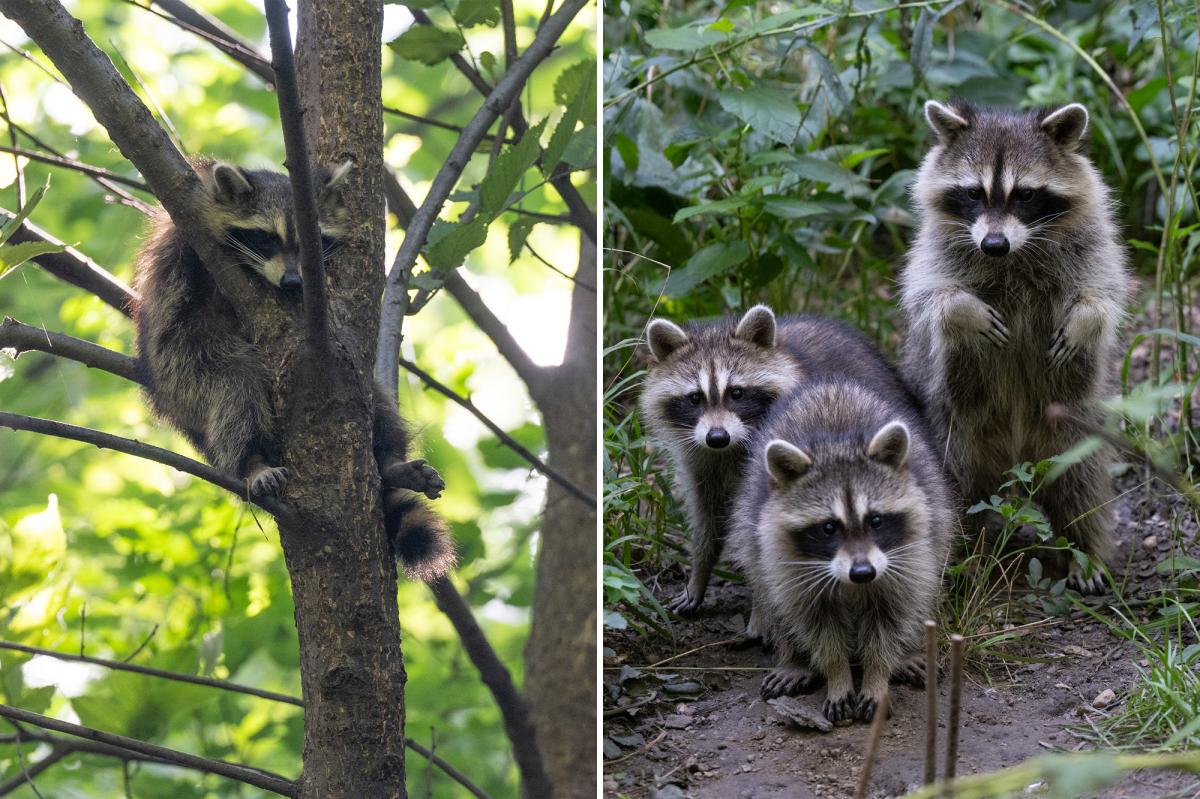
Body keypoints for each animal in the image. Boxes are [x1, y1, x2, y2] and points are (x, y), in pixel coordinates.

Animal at [132, 157, 454, 580]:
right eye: (266, 238)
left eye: (312, 244)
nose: (292, 281)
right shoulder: (184, 247)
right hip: (183, 374)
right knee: (235, 389)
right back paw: (251, 461)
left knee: (375, 399)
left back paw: (391, 460)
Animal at [639, 305, 898, 615]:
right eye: (694, 398)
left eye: (737, 393)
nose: (717, 436)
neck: (730, 449)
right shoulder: (701, 459)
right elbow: (708, 518)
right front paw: (699, 573)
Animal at [730, 378, 955, 723]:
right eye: (828, 528)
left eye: (875, 520)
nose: (863, 573)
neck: (836, 443)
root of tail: (830, 384)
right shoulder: (792, 566)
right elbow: (816, 624)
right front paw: (837, 675)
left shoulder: (904, 557)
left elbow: (892, 618)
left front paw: (877, 675)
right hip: (756, 533)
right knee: (770, 591)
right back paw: (794, 659)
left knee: (919, 595)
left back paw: (909, 651)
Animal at [899, 101, 1132, 593]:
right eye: (973, 193)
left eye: (1025, 194)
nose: (993, 245)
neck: (1017, 254)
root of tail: (1016, 458)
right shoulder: (935, 249)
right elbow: (931, 298)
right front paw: (964, 312)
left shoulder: (1092, 244)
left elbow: (1104, 294)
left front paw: (1085, 319)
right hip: (952, 426)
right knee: (957, 487)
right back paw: (963, 559)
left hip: (1076, 425)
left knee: (1082, 483)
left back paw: (1084, 550)